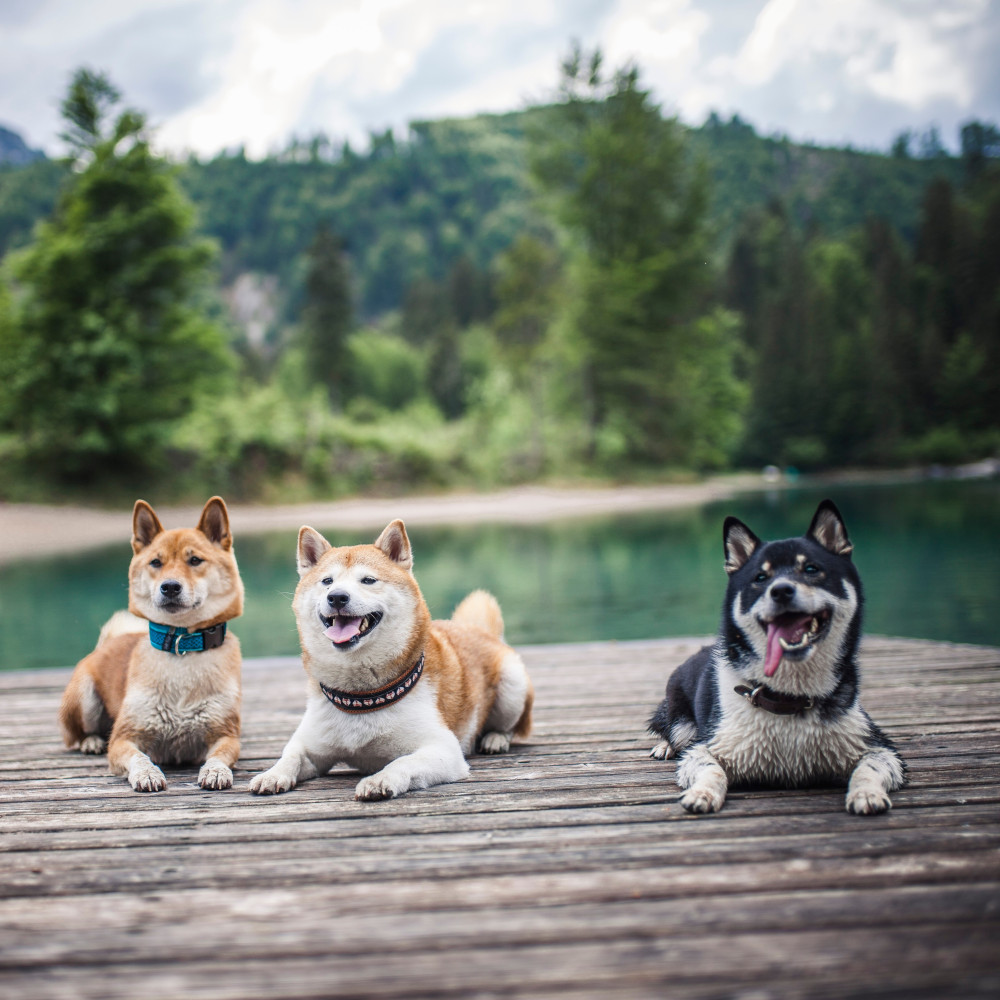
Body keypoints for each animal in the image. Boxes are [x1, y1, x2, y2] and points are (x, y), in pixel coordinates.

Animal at [59, 496, 245, 792]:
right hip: (84, 697)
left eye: (195, 560)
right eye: (156, 562)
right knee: (77, 735)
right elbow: (138, 757)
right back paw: (92, 741)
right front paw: (147, 774)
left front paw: (215, 771)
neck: (181, 646)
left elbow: (219, 755)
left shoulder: (225, 733)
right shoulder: (123, 738)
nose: (169, 586)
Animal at [249, 520, 532, 800]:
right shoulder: (310, 746)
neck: (361, 698)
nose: (337, 596)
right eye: (327, 581)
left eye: (368, 580)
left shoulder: (443, 749)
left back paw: (495, 739)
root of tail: (477, 630)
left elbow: (402, 762)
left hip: (512, 684)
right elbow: (290, 756)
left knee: (510, 726)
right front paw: (272, 774)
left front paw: (380, 779)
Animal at [652, 496, 904, 816]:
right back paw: (665, 746)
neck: (789, 698)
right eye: (760, 577)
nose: (781, 591)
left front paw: (866, 793)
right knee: (672, 731)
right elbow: (711, 769)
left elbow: (868, 768)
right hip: (680, 719)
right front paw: (703, 793)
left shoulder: (880, 746)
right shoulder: (707, 745)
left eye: (811, 569)